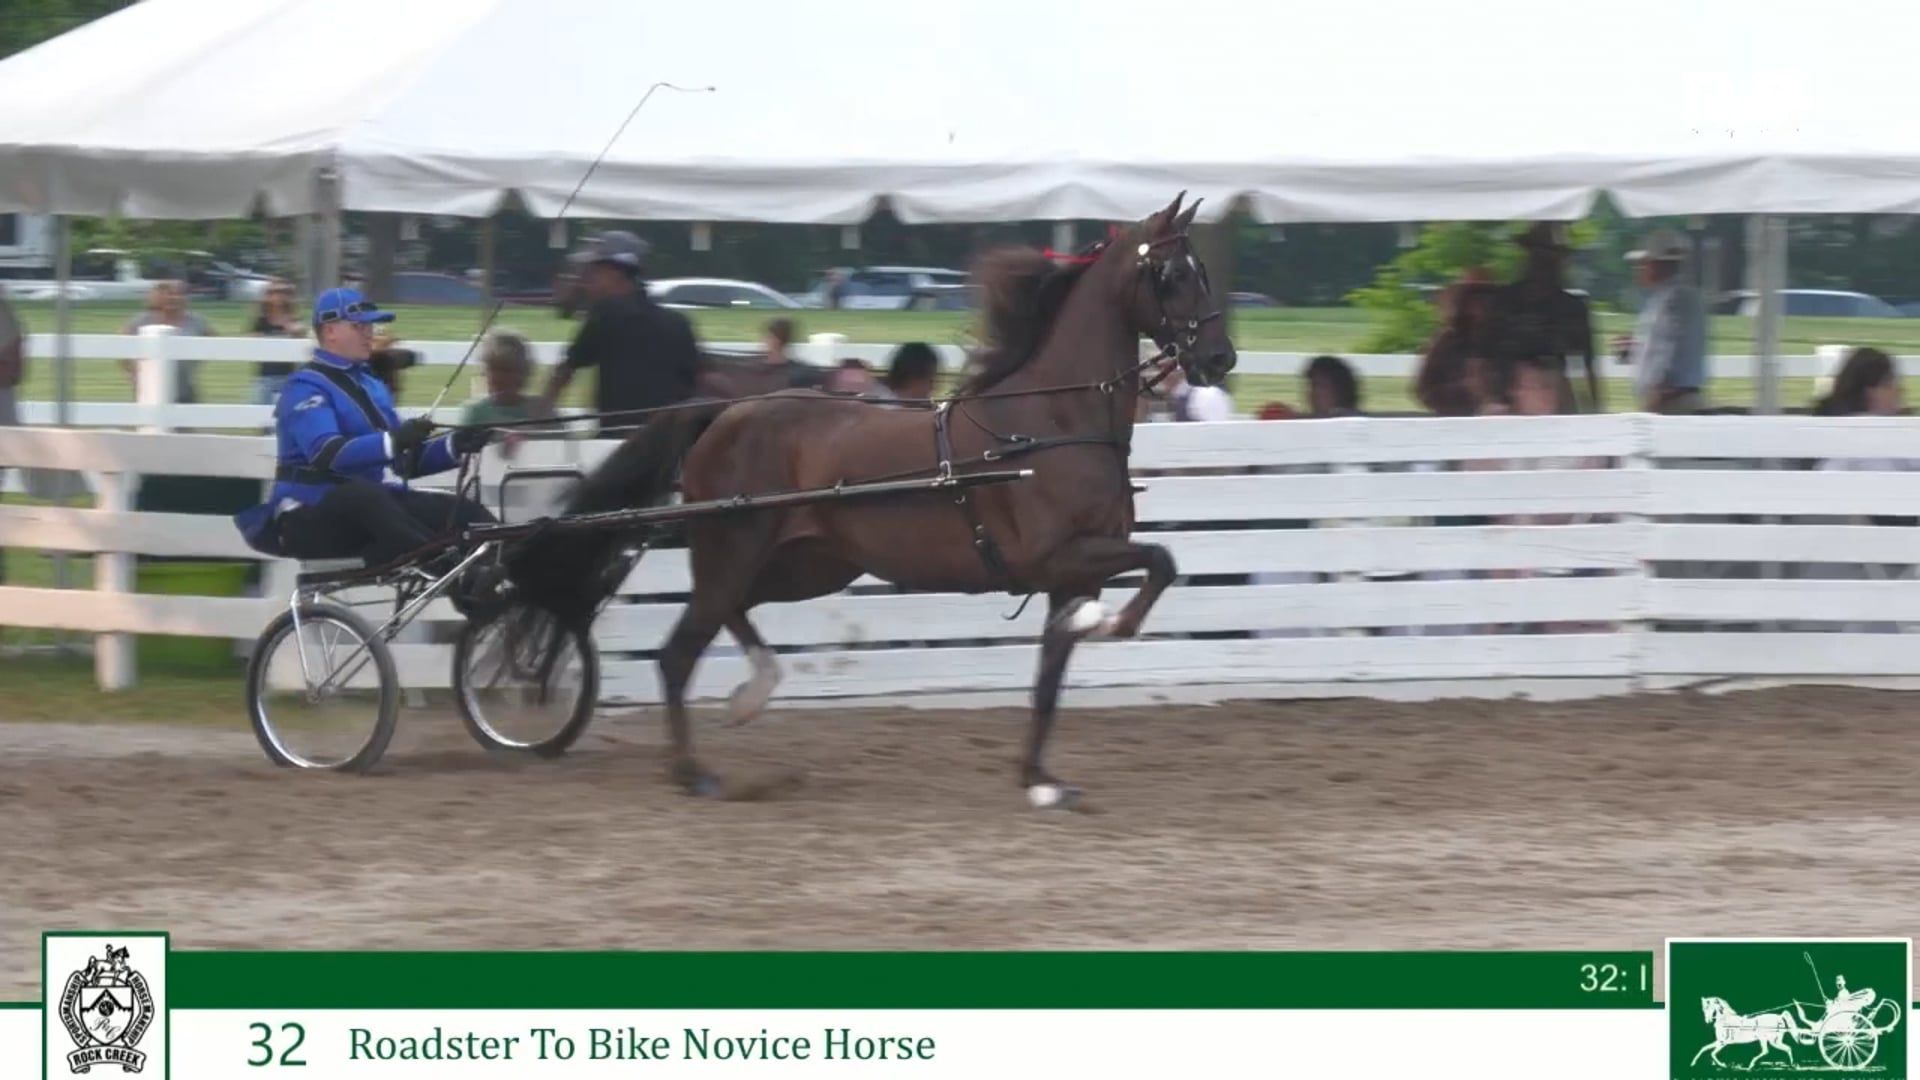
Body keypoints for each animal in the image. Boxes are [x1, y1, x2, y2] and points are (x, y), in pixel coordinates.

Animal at [504, 191, 1236, 808]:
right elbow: (1161, 562)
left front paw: (1039, 780)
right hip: (735, 549)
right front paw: (1109, 624)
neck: (1049, 423)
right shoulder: (1058, 558)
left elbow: (1051, 677)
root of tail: (722, 412)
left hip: (808, 565)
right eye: (1172, 273)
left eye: (1203, 269)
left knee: (729, 615)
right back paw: (694, 770)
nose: (1221, 359)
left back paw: (752, 693)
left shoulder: (1069, 574)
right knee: (680, 651)